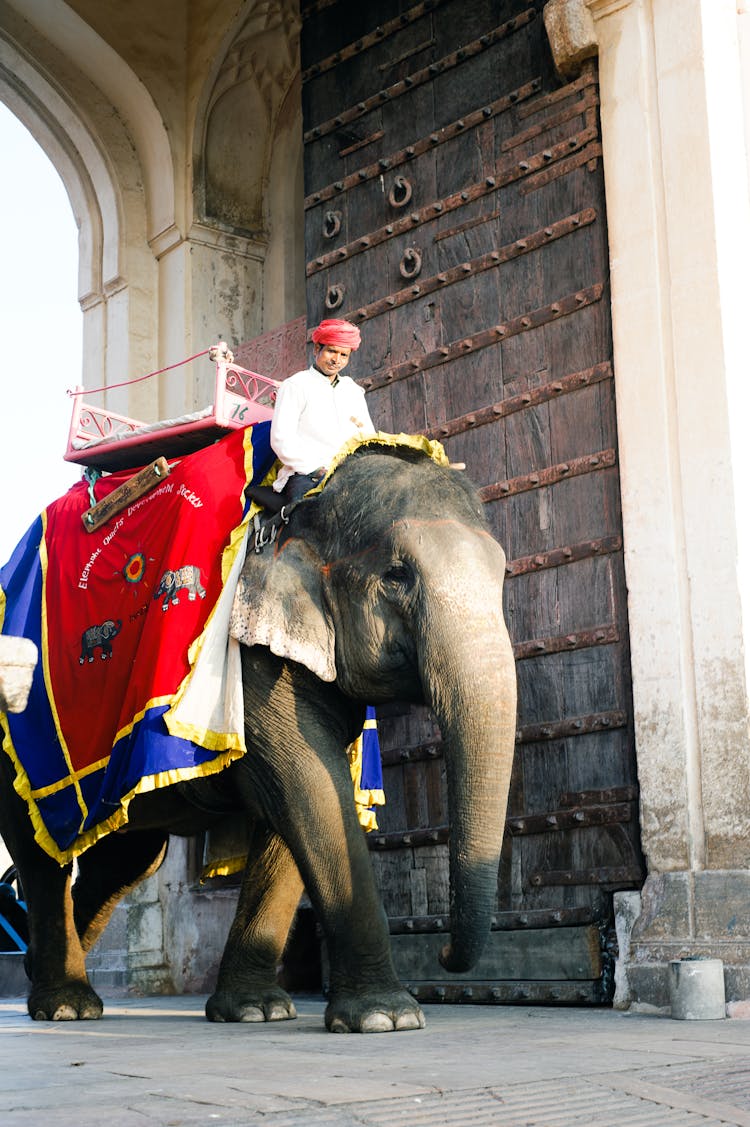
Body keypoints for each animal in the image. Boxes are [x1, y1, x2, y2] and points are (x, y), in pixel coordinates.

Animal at [0, 439, 514, 1032]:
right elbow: (308, 786)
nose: (446, 955)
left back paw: (43, 977)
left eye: (502, 575)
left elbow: (295, 800)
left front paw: (256, 1011)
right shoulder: (249, 658)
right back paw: (66, 1005)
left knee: (126, 858)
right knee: (44, 851)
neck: (307, 495)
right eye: (396, 575)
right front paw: (386, 1018)